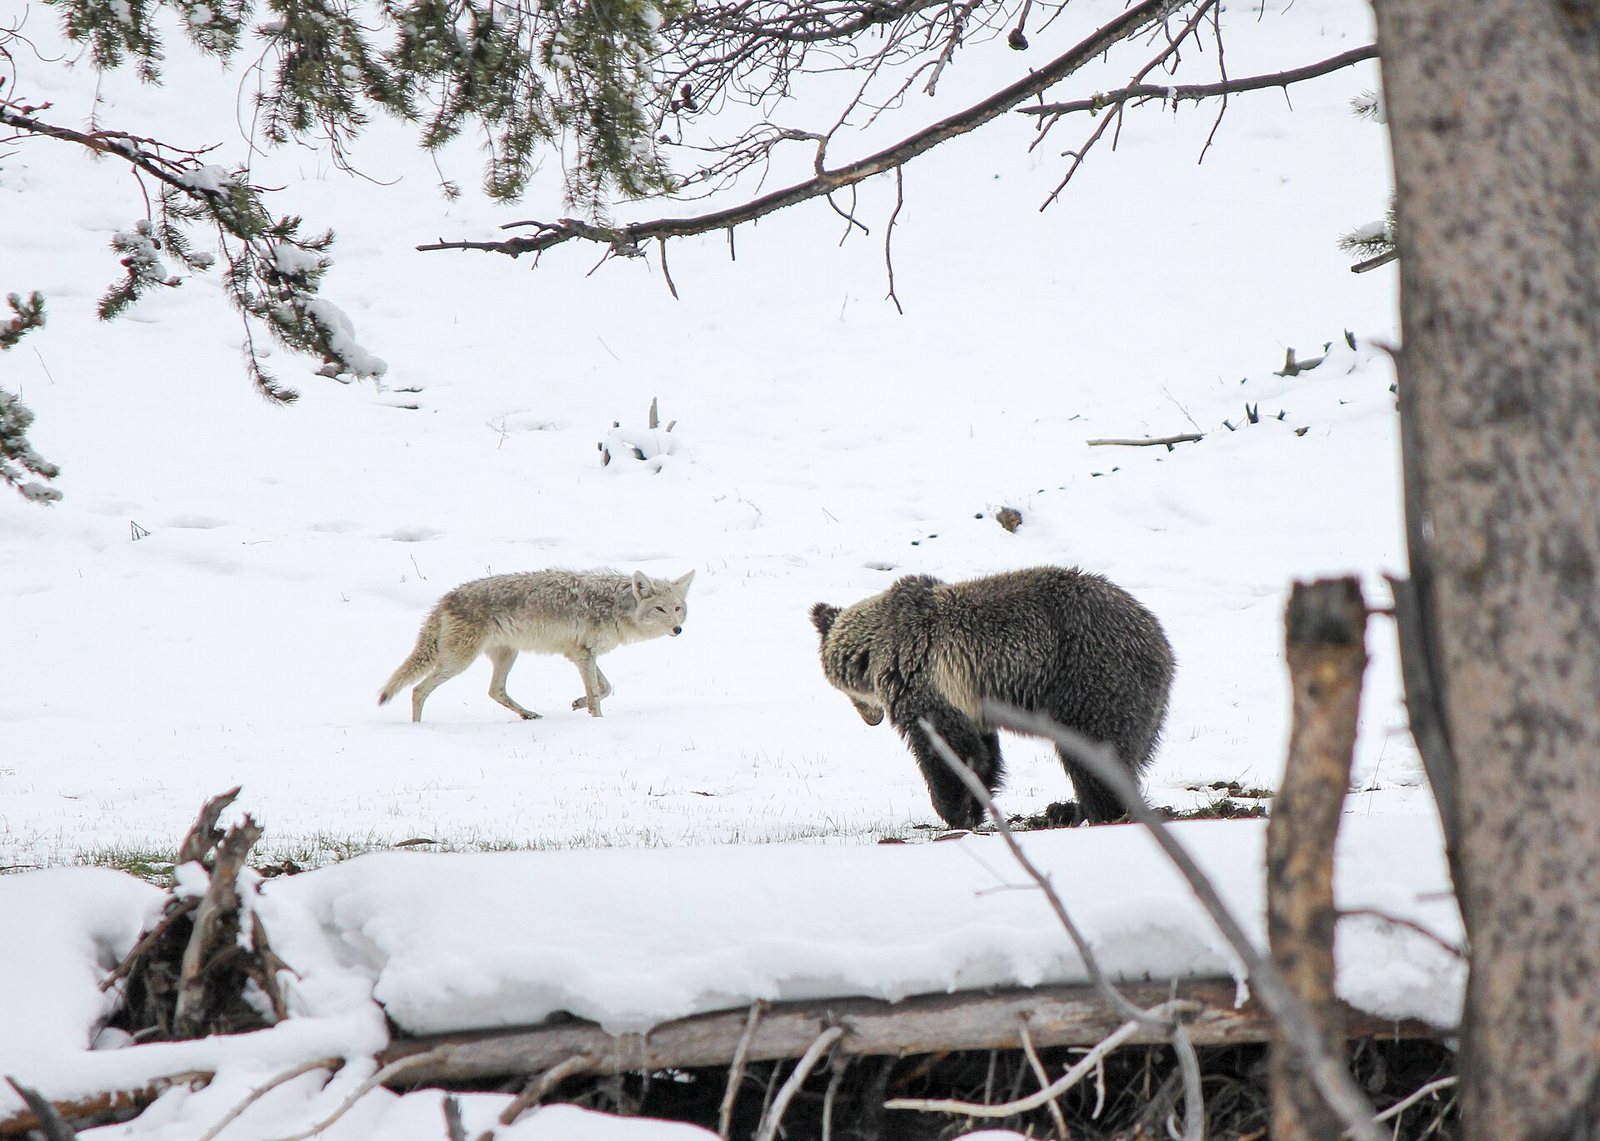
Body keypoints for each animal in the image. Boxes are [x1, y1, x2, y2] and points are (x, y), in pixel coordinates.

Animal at [810, 566, 1174, 828]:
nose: (870, 719)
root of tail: (1160, 642)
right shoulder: (968, 700)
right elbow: (981, 752)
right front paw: (976, 804)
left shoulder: (925, 684)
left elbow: (945, 749)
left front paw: (955, 811)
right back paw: (1072, 810)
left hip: (1090, 675)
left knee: (1094, 752)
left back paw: (1101, 811)